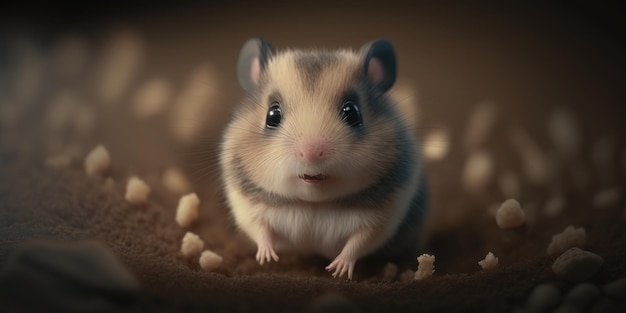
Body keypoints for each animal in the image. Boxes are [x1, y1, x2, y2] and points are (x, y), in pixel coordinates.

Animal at [217, 37, 426, 280]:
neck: (313, 203)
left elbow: (359, 242)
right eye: (272, 115)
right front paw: (267, 258)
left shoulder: (382, 219)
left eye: (352, 112)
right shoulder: (248, 207)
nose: (311, 153)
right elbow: (260, 230)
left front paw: (337, 269)